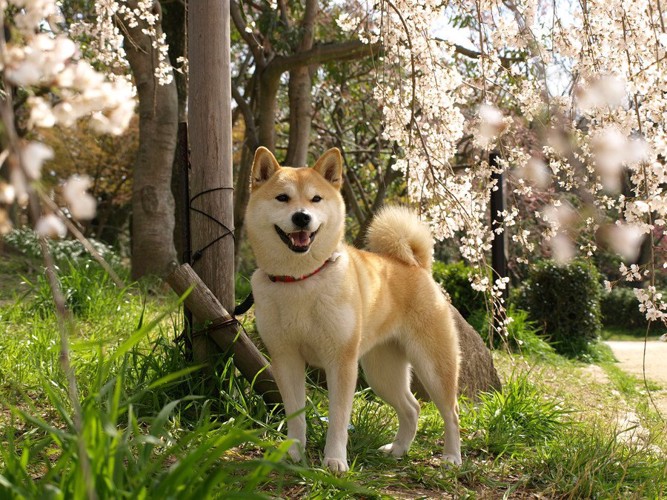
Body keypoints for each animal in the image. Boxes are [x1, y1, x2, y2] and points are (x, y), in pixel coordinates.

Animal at [248, 146, 462, 470]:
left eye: (316, 199)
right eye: (282, 198)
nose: (301, 217)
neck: (301, 279)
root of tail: (415, 265)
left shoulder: (341, 361)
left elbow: (338, 418)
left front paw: (335, 461)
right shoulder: (285, 358)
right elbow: (295, 415)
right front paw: (293, 453)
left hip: (433, 366)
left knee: (451, 412)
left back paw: (452, 457)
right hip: (382, 371)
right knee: (411, 408)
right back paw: (398, 449)